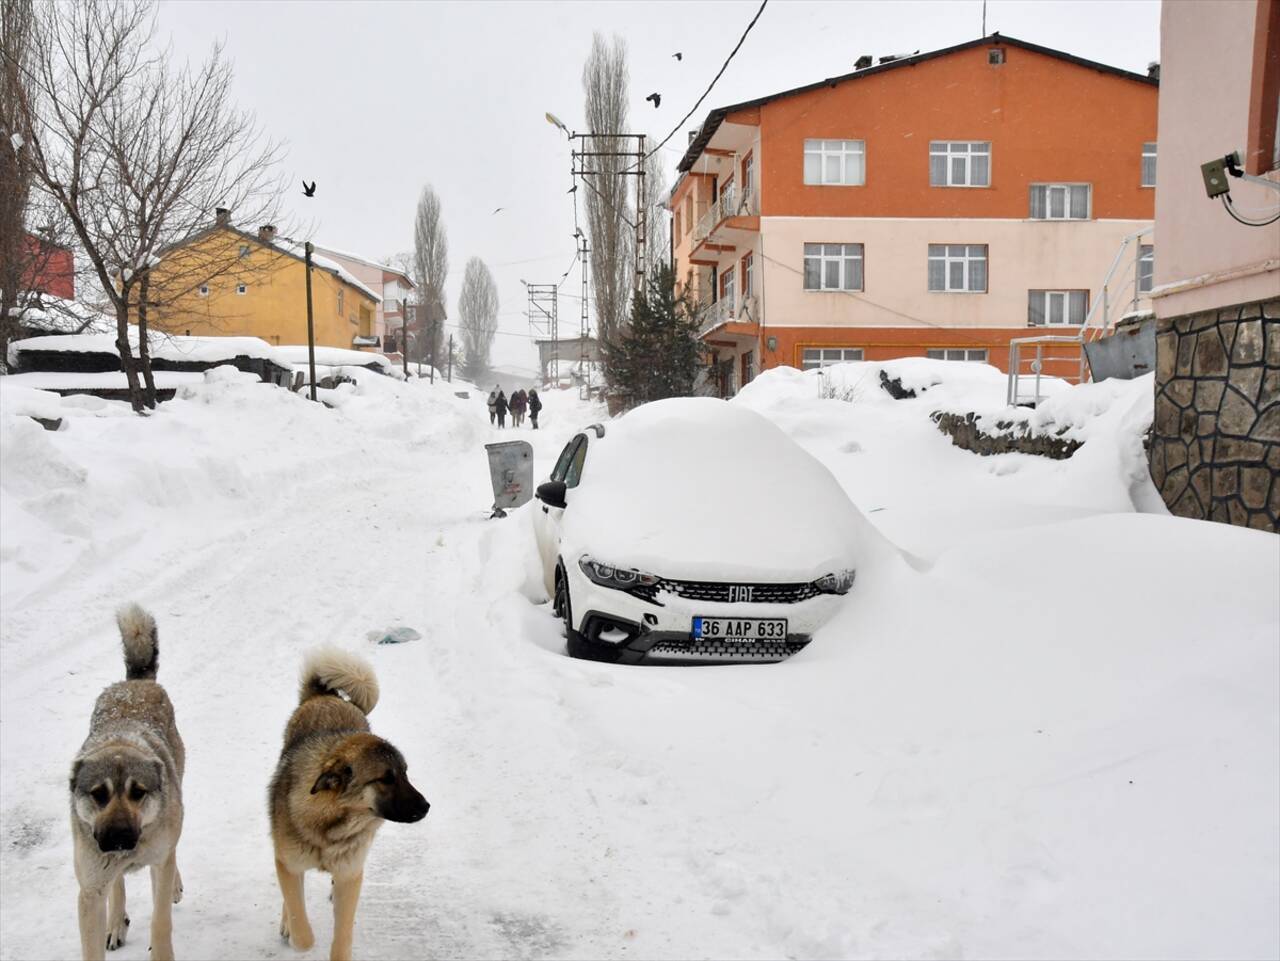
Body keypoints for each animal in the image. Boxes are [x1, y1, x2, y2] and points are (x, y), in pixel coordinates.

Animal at [268, 647, 430, 961]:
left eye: (405, 773)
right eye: (386, 779)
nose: (426, 806)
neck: (330, 826)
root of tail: (326, 695)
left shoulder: (350, 875)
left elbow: (342, 935)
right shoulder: (288, 862)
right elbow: (302, 931)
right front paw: (295, 931)